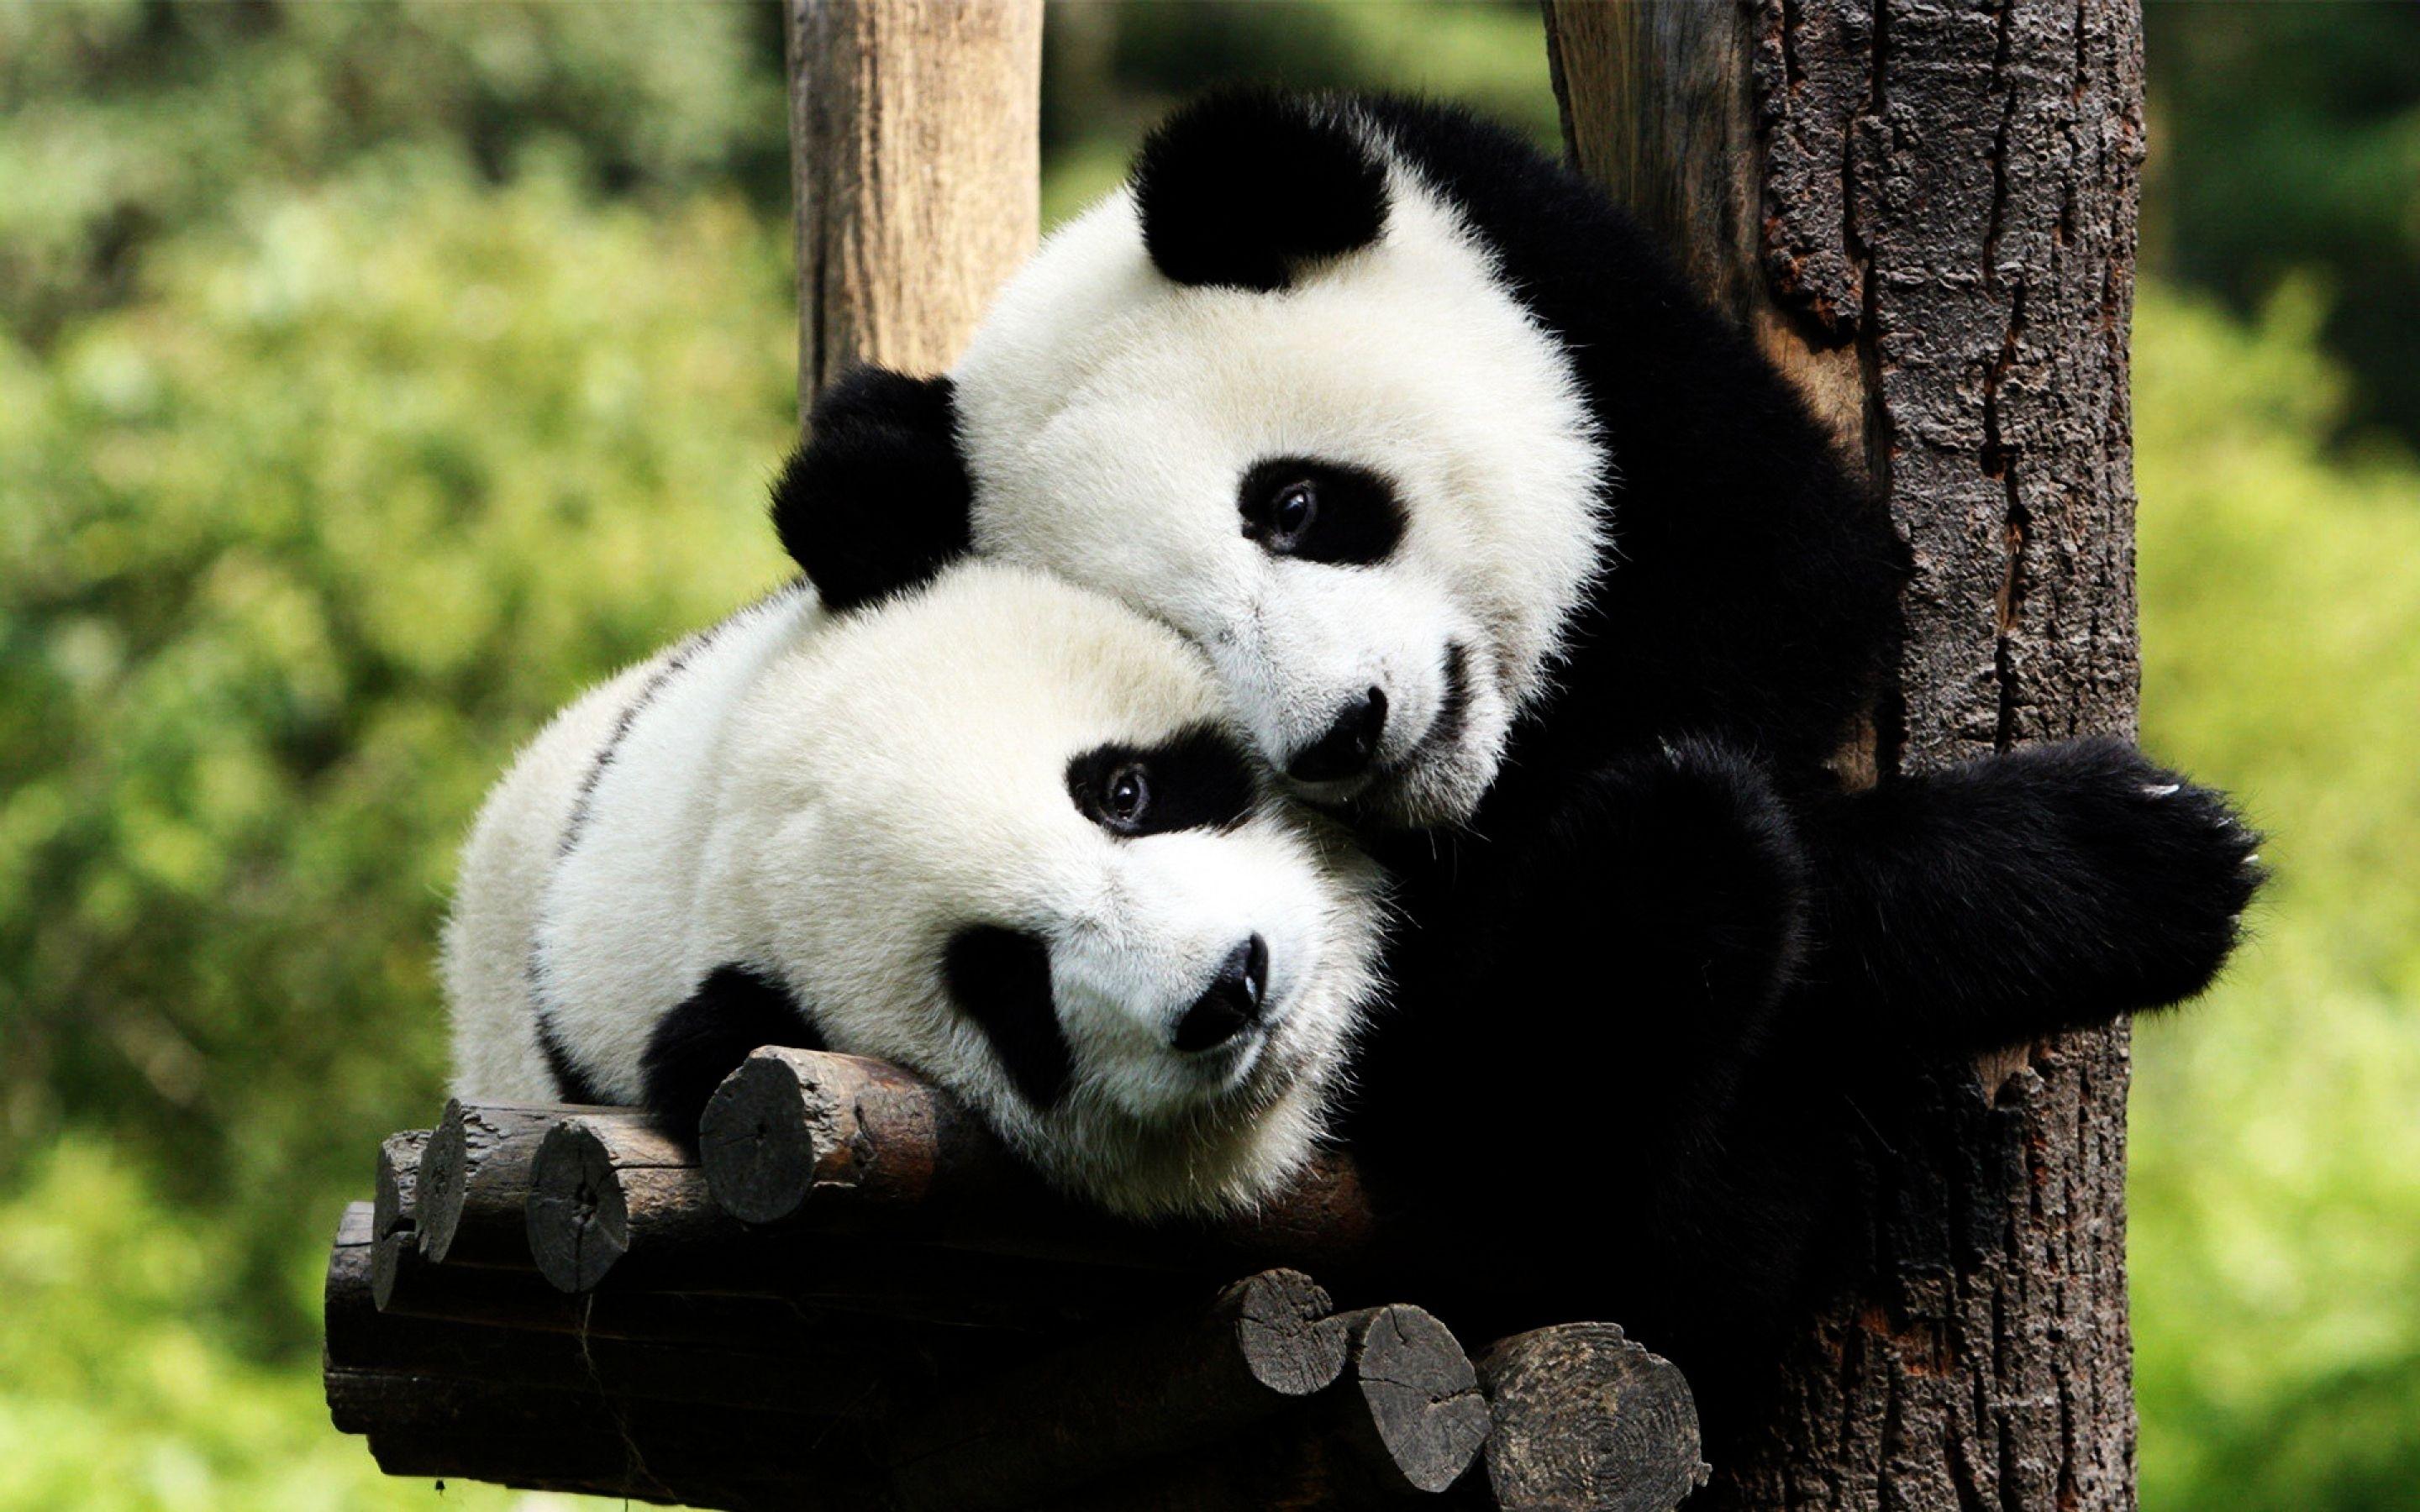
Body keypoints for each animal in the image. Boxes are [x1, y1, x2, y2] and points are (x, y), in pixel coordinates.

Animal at [767, 89, 2263, 1418]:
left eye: (1294, 505)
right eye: (1180, 639)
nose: (1345, 731)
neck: (1487, 779)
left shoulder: (1607, 343)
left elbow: (1787, 596)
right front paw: (2130, 862)